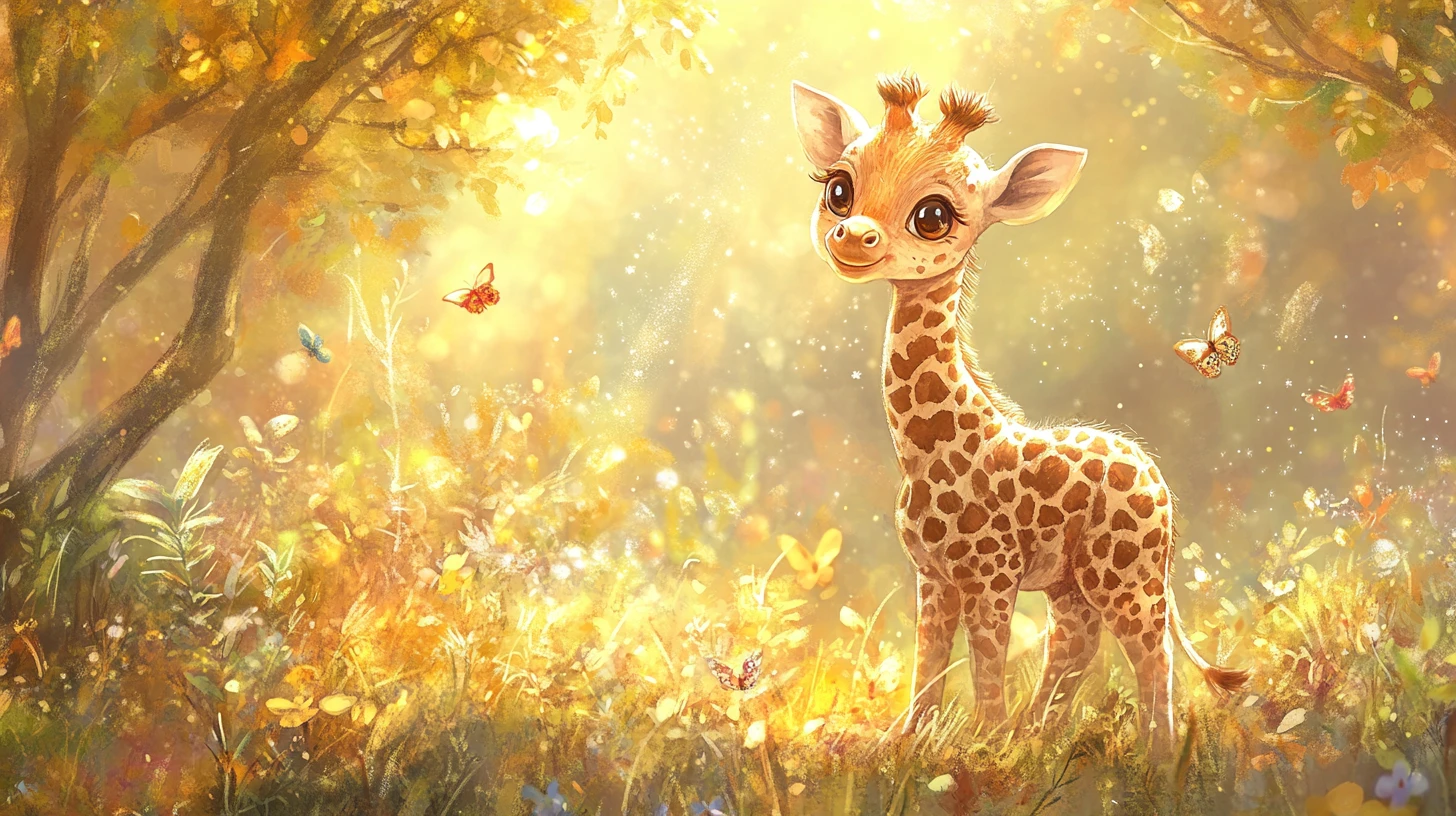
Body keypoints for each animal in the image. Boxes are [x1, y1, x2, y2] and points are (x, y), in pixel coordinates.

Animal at [790, 71, 1249, 754]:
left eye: (934, 216)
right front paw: (907, 743)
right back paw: (1039, 738)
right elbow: (930, 661)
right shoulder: (934, 576)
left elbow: (986, 659)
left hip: (1127, 573)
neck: (924, 450)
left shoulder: (992, 574)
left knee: (1149, 652)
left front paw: (982, 745)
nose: (851, 238)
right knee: (1077, 642)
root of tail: (1159, 482)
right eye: (838, 190)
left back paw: (1157, 755)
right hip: (1073, 582)